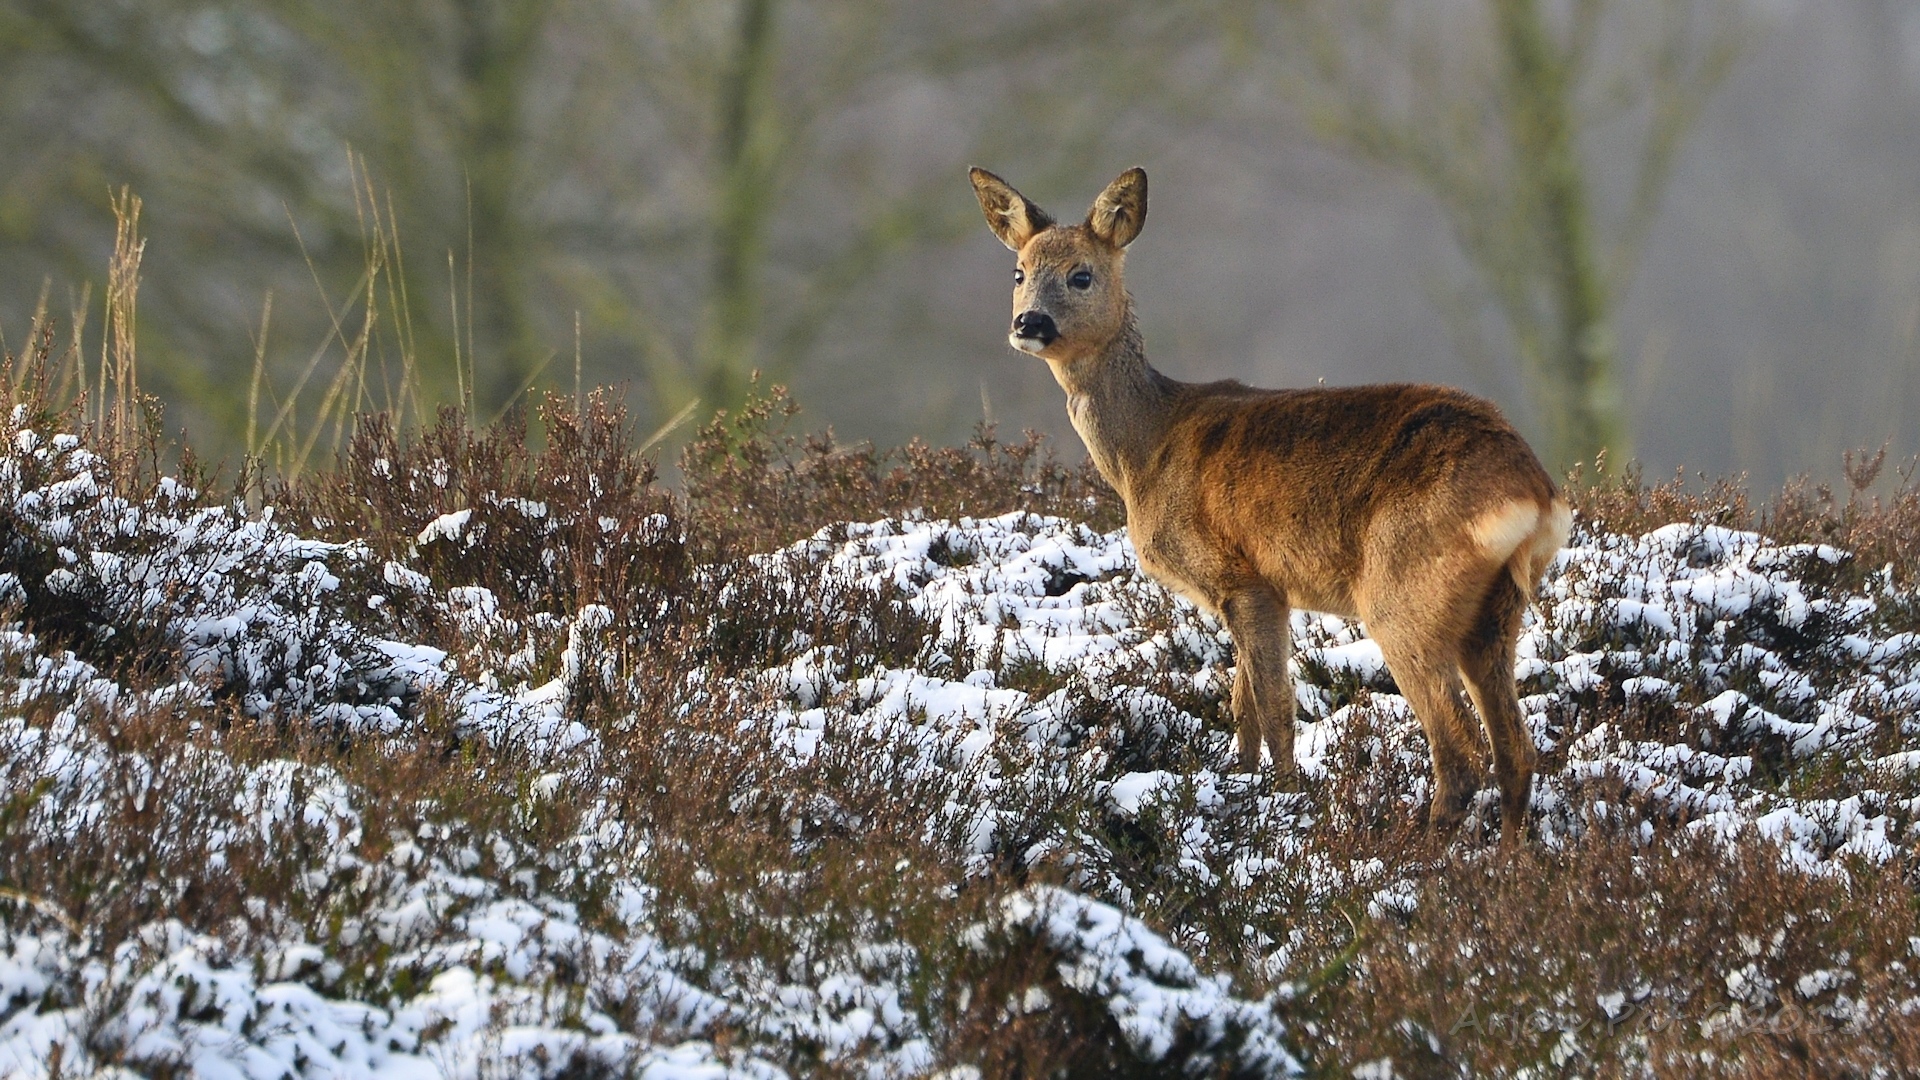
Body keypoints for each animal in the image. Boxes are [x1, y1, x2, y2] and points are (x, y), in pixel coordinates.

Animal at [970, 166, 1570, 845]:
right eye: (1018, 272)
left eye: (1081, 274)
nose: (1029, 324)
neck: (1144, 454)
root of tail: (1534, 492)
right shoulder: (1259, 589)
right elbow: (1244, 705)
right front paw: (1239, 779)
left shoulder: (1243, 578)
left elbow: (1275, 707)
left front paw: (1281, 799)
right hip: (1495, 610)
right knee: (1515, 749)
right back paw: (1507, 861)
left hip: (1402, 590)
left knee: (1462, 748)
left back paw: (1412, 851)